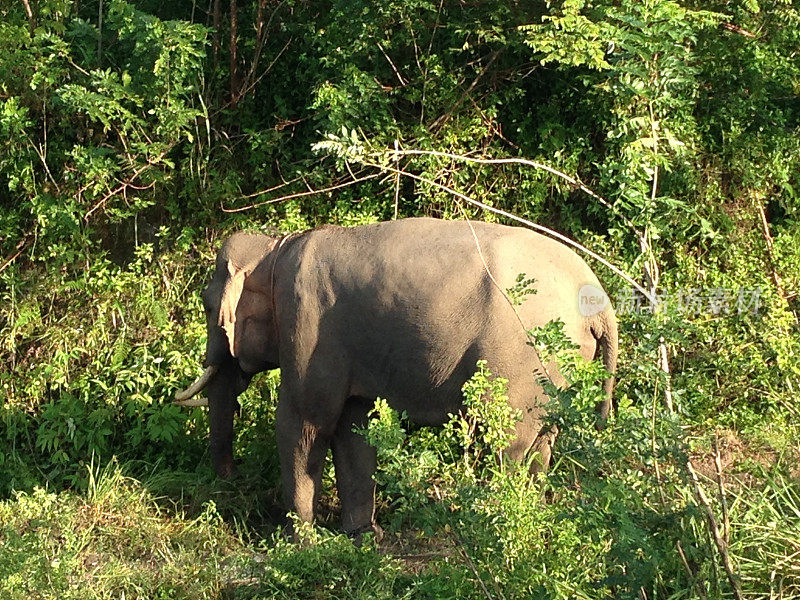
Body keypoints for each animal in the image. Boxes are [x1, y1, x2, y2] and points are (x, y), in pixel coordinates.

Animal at [177, 218, 620, 536]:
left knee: (506, 444)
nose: (230, 479)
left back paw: (496, 526)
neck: (274, 248)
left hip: (522, 359)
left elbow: (304, 423)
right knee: (542, 441)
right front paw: (361, 536)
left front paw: (298, 541)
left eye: (207, 305)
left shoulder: (306, 322)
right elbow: (354, 430)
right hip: (556, 371)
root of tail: (599, 300)